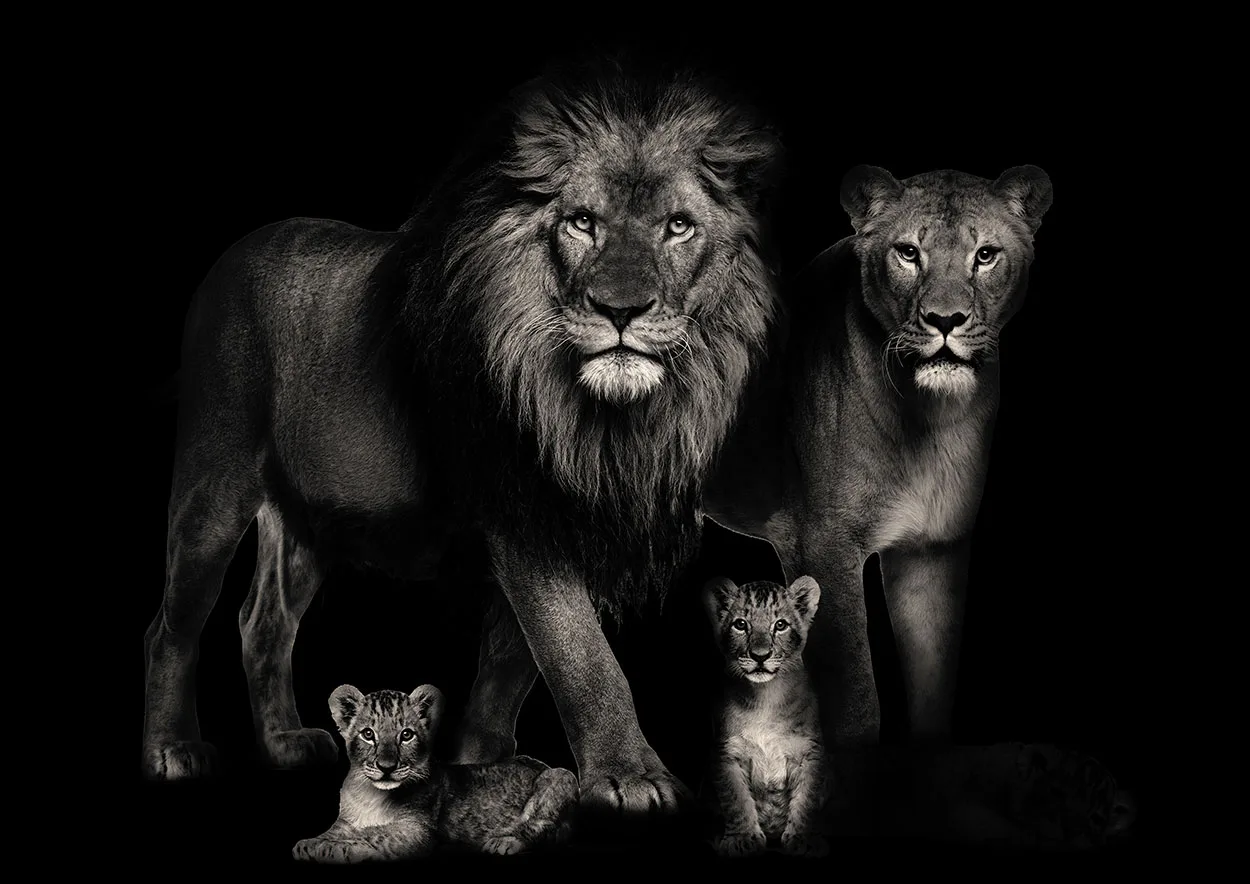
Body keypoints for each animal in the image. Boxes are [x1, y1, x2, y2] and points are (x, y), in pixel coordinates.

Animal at [140, 55, 784, 819]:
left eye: (679, 228)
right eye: (582, 223)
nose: (619, 310)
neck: (610, 420)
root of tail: (235, 250)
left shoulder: (570, 518)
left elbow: (512, 662)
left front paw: (484, 761)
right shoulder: (524, 511)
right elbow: (579, 653)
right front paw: (629, 776)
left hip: (311, 521)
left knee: (262, 623)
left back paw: (285, 743)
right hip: (214, 483)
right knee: (172, 627)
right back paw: (173, 750)